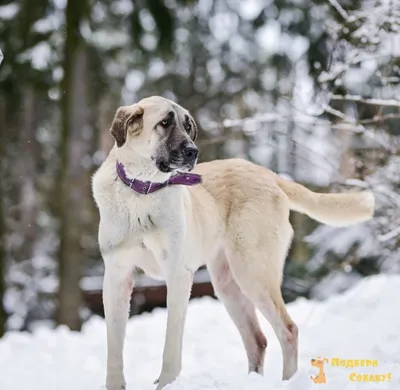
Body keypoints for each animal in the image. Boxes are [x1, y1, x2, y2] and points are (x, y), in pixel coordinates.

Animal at [91, 95, 376, 390]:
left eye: (188, 126)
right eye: (165, 123)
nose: (193, 152)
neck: (141, 192)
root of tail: (267, 174)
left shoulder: (179, 275)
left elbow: (171, 344)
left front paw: (167, 383)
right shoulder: (116, 278)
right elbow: (114, 347)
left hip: (252, 272)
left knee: (288, 330)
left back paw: (287, 380)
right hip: (228, 283)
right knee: (257, 339)